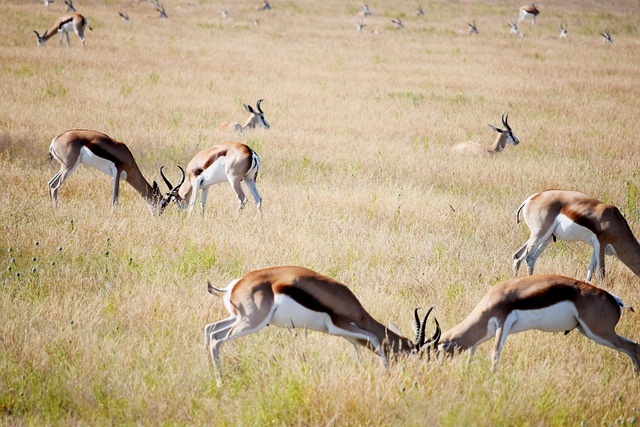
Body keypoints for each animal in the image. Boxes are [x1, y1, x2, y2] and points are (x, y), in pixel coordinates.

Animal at [204, 268, 440, 384]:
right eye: (414, 354)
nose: (418, 375)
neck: (359, 312)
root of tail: (234, 285)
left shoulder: (349, 335)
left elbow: (358, 348)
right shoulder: (340, 325)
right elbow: (374, 338)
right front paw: (386, 372)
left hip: (237, 318)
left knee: (209, 329)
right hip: (251, 322)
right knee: (216, 339)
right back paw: (220, 382)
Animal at [432, 276, 636, 372]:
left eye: (434, 353)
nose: (435, 371)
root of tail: (615, 300)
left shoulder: (502, 323)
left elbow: (495, 354)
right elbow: (472, 352)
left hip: (599, 332)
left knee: (633, 347)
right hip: (586, 330)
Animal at [512, 191, 640, 284]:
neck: (615, 221)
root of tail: (532, 198)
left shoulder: (595, 247)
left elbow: (590, 271)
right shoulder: (601, 244)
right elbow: (601, 273)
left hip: (546, 238)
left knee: (529, 258)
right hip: (539, 235)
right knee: (519, 258)